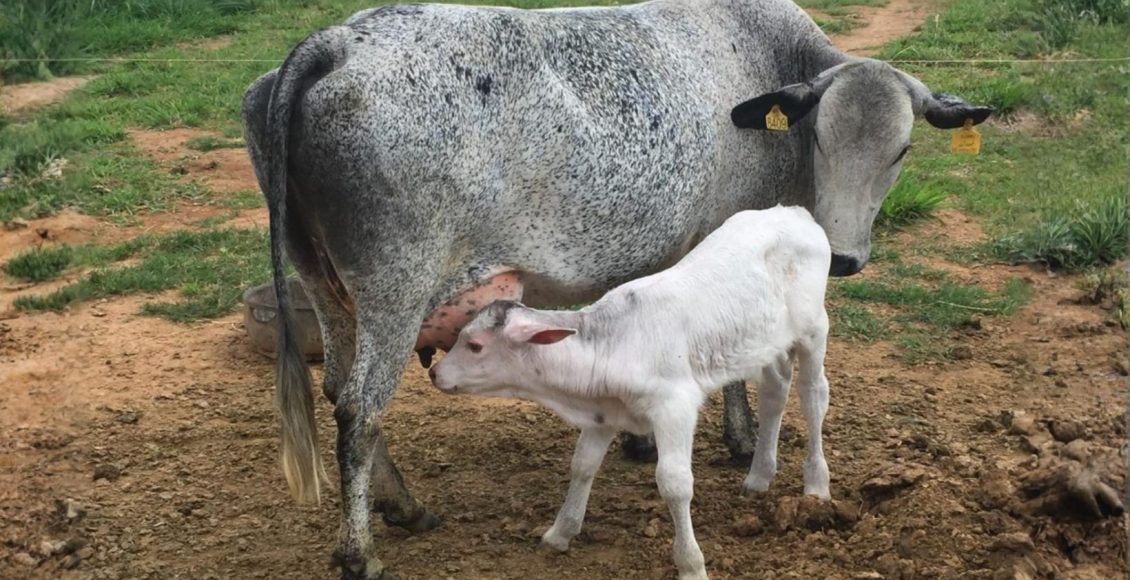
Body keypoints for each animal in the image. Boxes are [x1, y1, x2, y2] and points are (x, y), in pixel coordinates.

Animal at [429, 206, 833, 580]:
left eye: (475, 346)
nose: (435, 373)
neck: (613, 343)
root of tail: (793, 212)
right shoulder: (603, 413)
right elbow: (582, 465)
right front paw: (560, 533)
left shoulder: (674, 406)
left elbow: (674, 483)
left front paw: (691, 564)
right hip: (767, 343)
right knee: (774, 392)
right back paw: (759, 477)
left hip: (815, 329)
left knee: (813, 396)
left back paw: (816, 484)